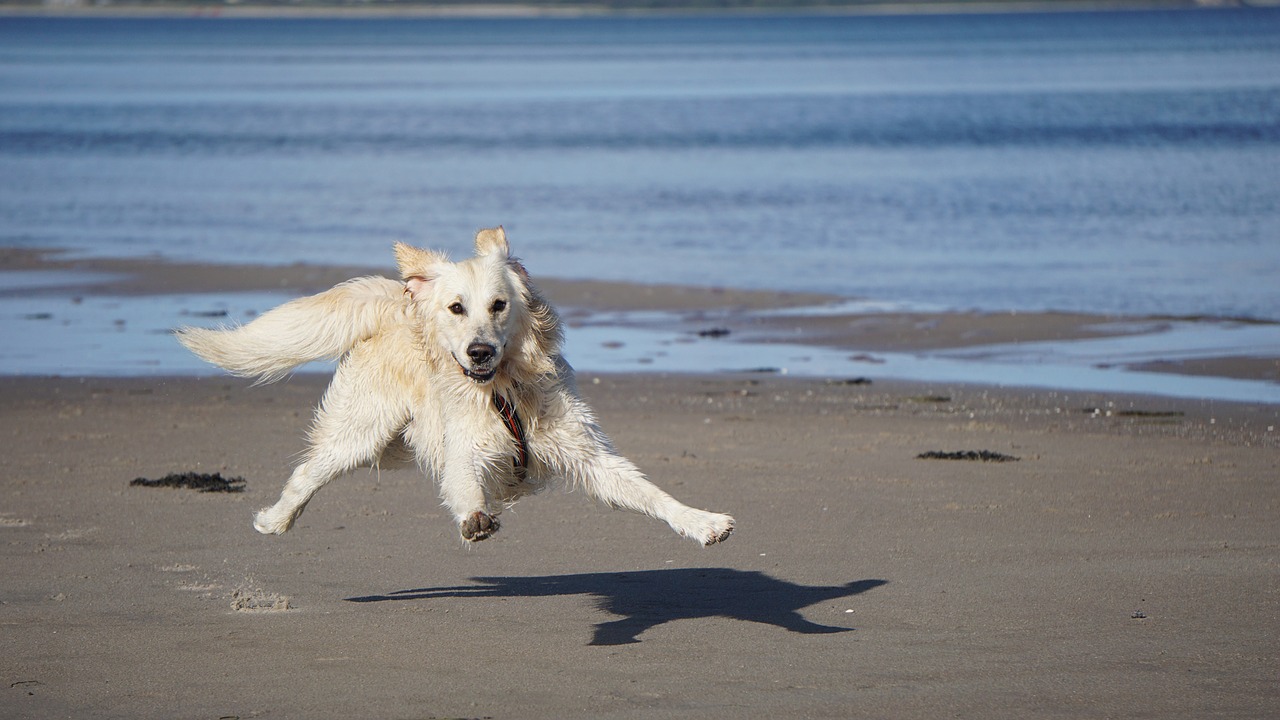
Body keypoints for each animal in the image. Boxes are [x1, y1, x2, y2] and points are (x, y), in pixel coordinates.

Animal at [176, 228, 737, 543]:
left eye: (499, 305)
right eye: (456, 308)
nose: (480, 351)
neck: (503, 391)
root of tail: (400, 300)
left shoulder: (587, 453)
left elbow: (649, 492)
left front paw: (702, 522)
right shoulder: (463, 446)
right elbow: (465, 483)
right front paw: (475, 518)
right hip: (361, 432)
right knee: (307, 472)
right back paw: (275, 520)